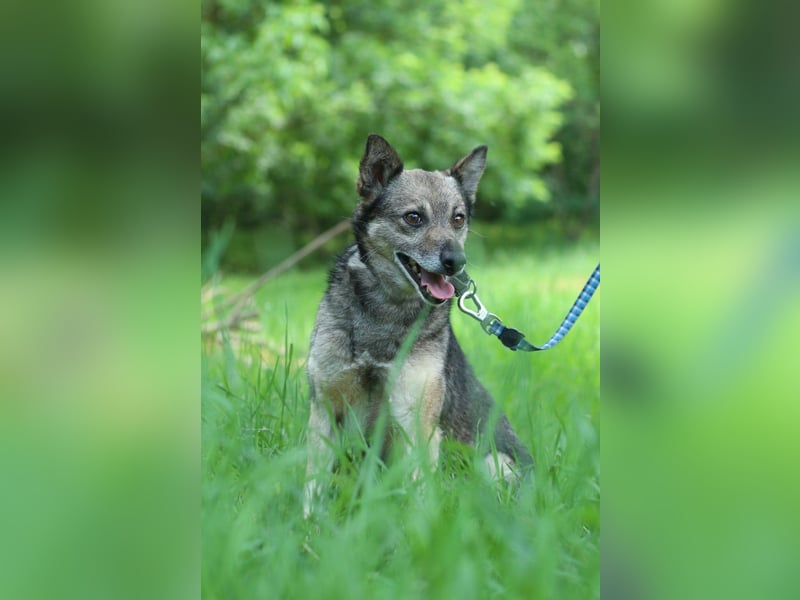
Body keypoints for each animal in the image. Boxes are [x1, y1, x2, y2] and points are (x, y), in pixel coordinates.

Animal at [304, 134, 532, 515]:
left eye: (458, 219)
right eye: (413, 217)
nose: (456, 262)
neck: (385, 311)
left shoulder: (416, 420)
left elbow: (417, 494)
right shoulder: (325, 409)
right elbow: (313, 486)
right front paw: (308, 523)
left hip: (495, 463)